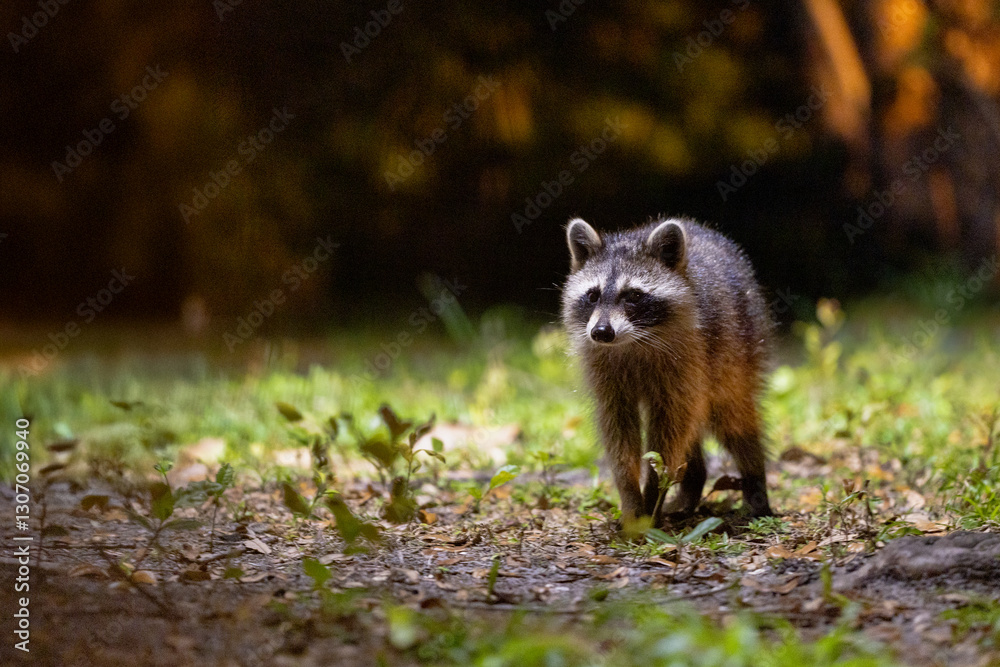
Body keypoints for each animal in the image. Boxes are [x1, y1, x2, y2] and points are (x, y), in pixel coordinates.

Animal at [561, 216, 773, 526]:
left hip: (737, 348)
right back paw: (693, 484)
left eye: (634, 296)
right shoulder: (606, 373)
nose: (601, 332)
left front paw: (651, 496)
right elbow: (618, 432)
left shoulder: (687, 357)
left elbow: (667, 436)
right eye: (592, 295)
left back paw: (755, 481)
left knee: (734, 418)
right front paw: (630, 495)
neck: (632, 342)